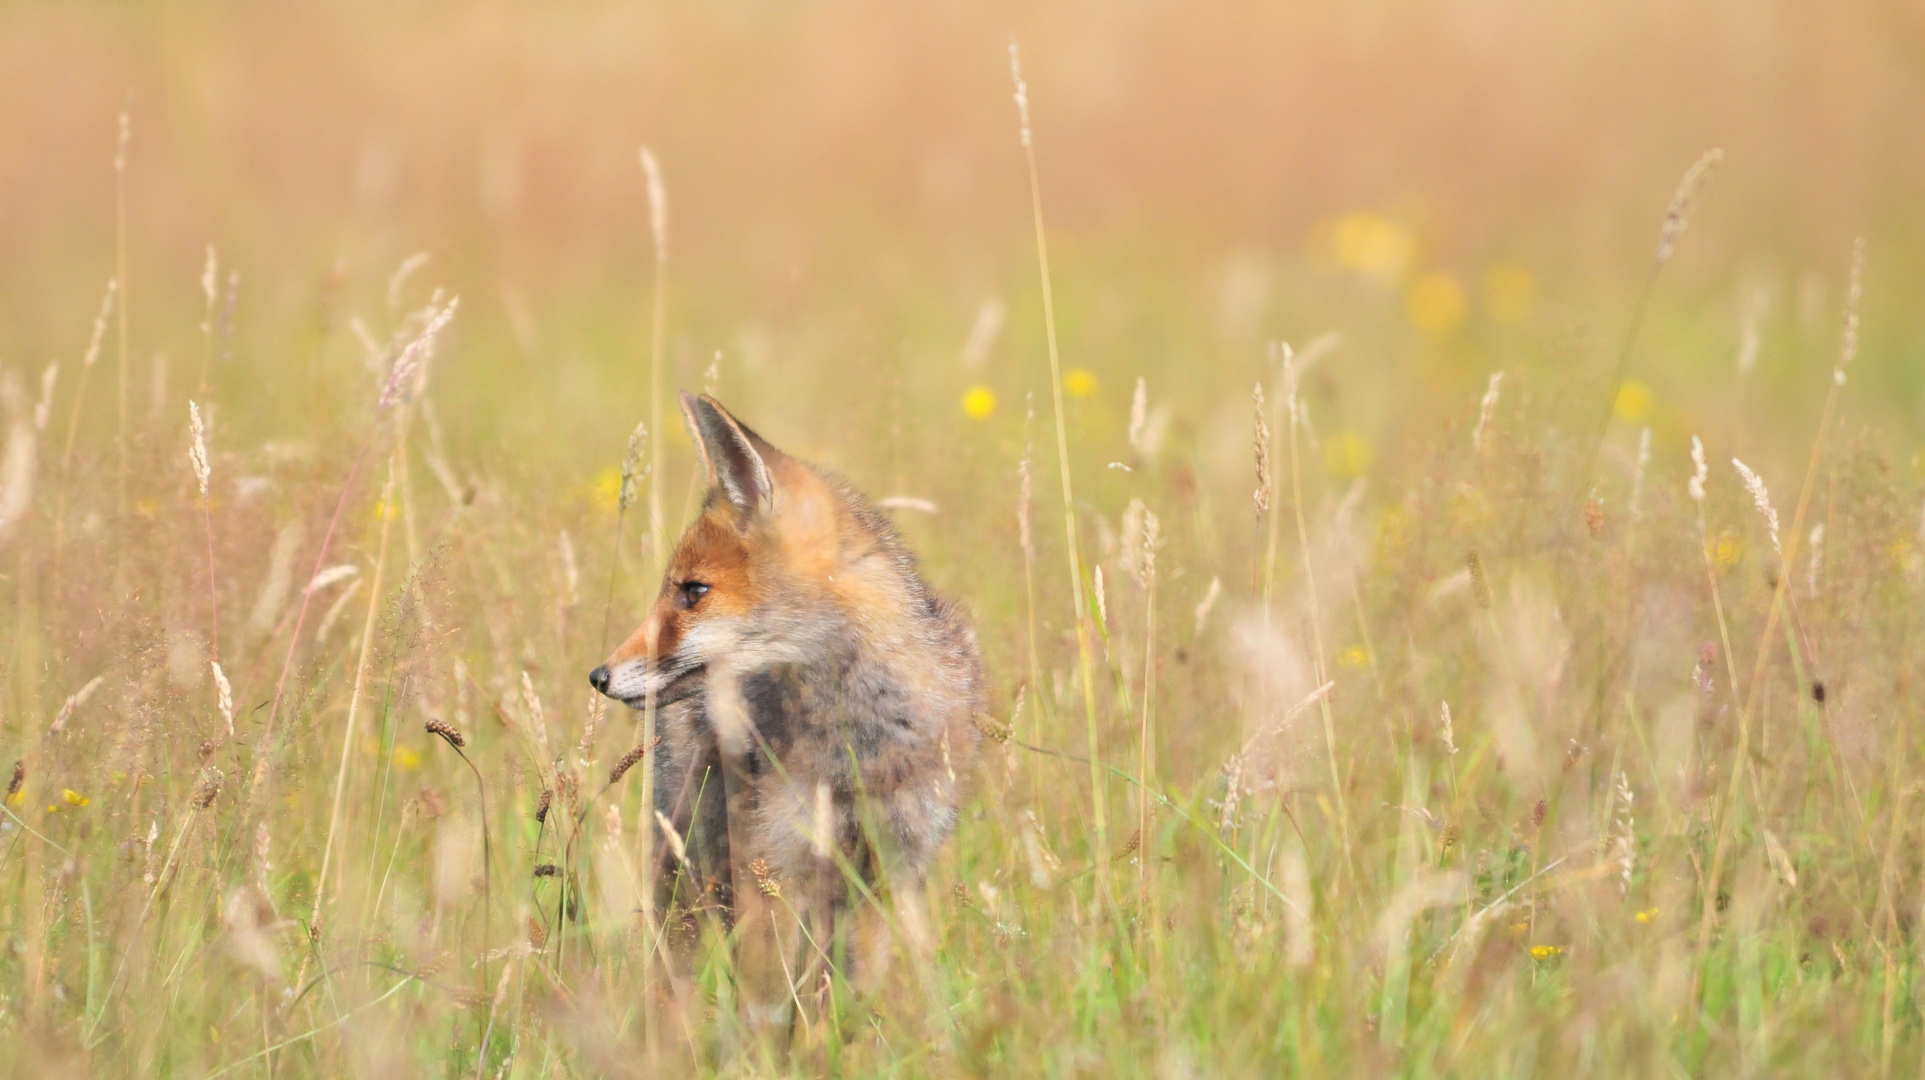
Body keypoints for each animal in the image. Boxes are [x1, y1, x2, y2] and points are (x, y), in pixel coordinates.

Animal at [581, 394, 977, 1008]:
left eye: (693, 592)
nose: (598, 676)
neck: (853, 753)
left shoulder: (888, 874)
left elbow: (852, 1004)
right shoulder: (774, 873)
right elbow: (768, 1007)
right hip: (691, 882)